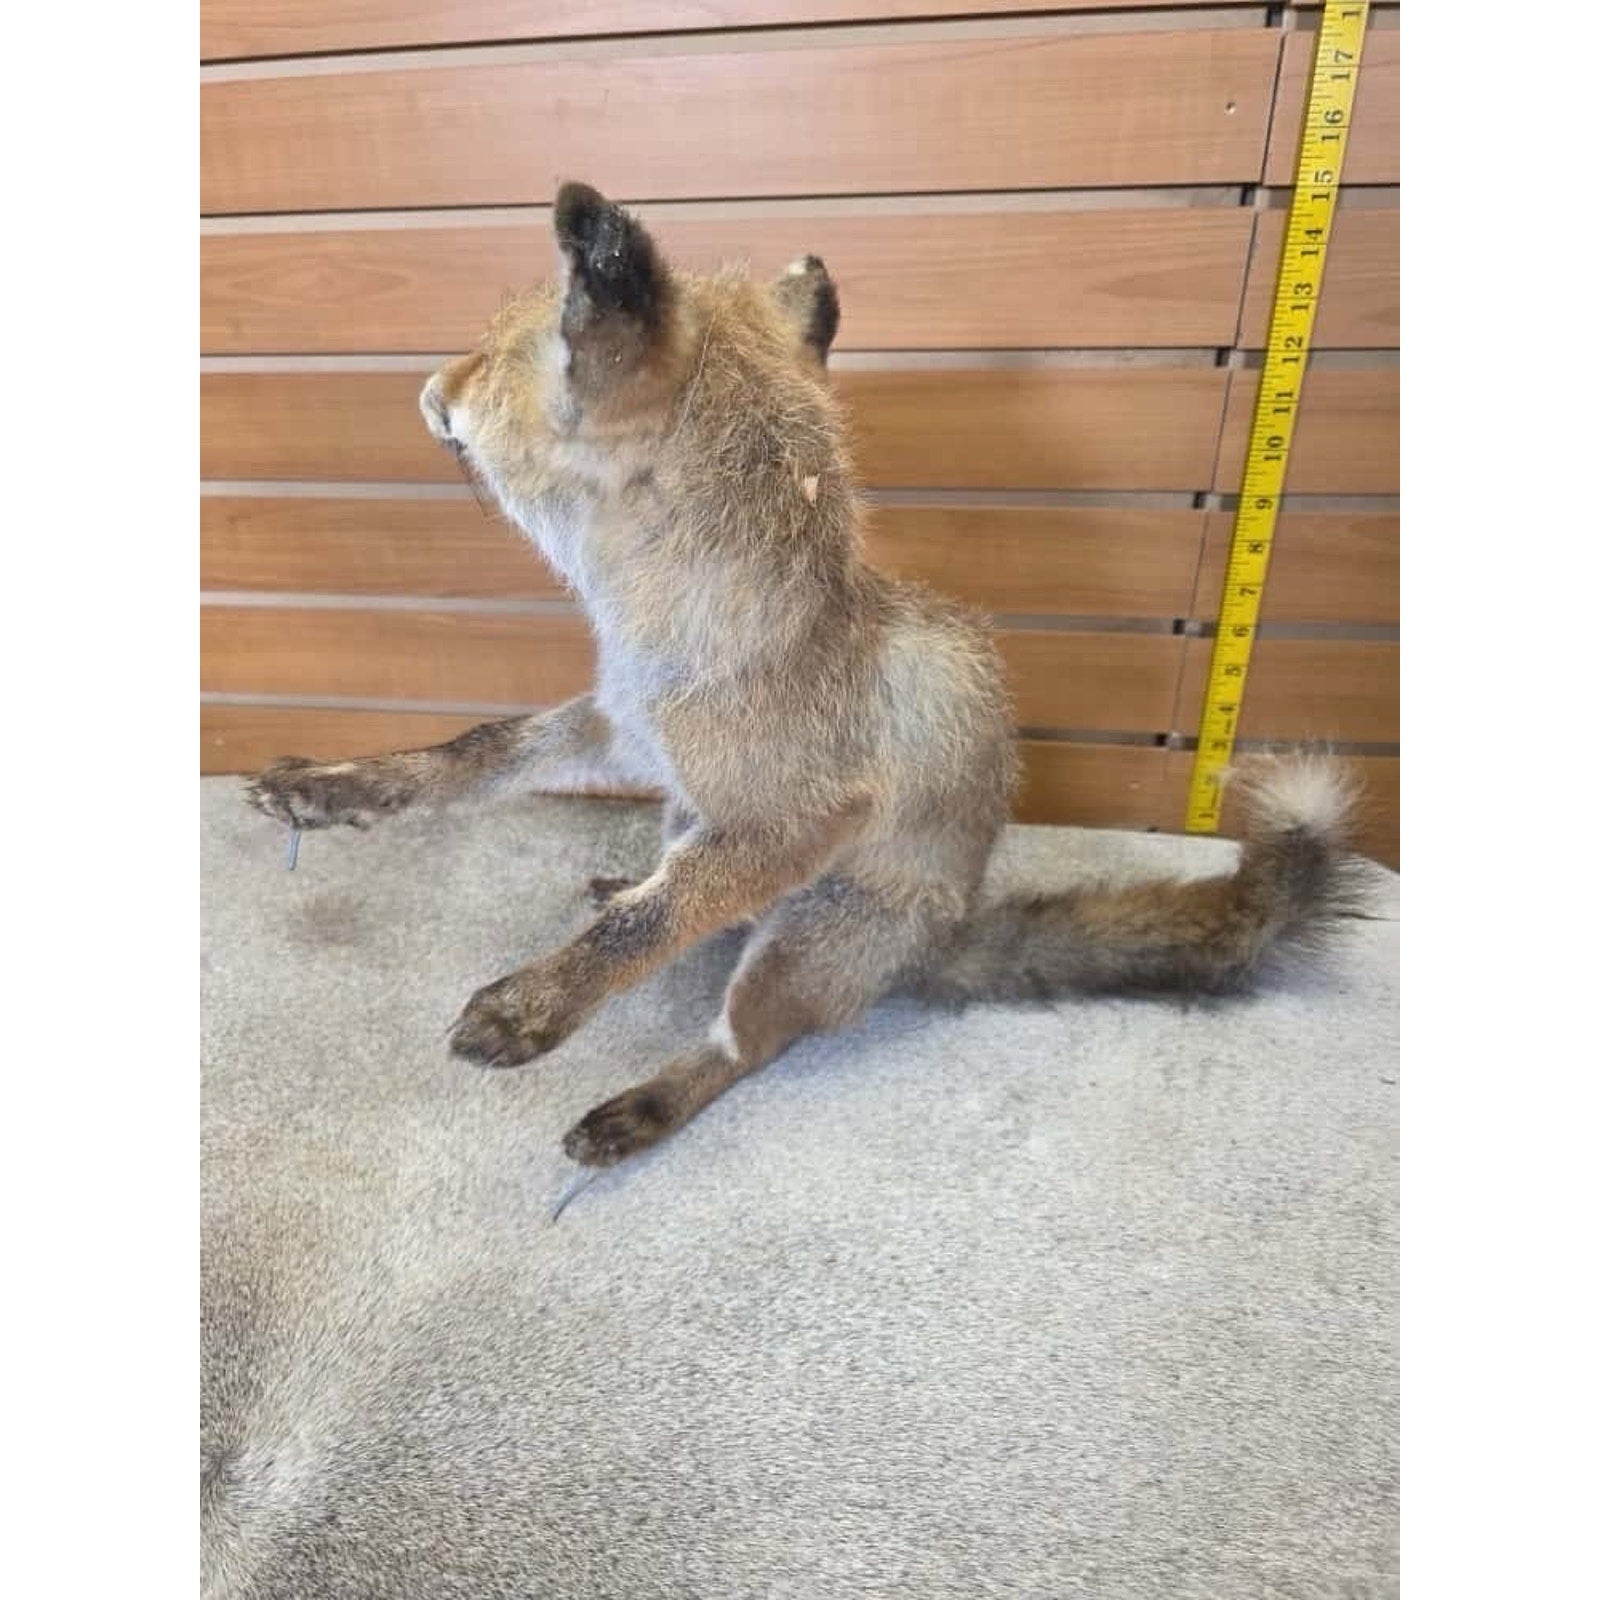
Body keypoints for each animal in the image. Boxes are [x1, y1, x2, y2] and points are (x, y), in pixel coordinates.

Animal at [245, 182, 1362, 1170]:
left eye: (482, 365)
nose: (427, 389)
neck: (684, 638)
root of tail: (943, 937)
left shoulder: (798, 819)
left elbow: (646, 928)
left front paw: (538, 1001)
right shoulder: (627, 729)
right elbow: (472, 754)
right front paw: (334, 789)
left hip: (800, 944)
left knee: (741, 1045)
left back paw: (640, 1107)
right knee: (689, 893)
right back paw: (627, 875)